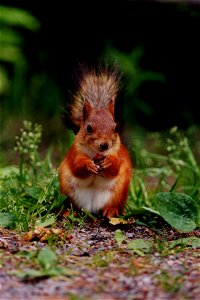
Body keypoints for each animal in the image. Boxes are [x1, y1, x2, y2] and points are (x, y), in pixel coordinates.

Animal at [58, 63, 132, 218]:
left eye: (115, 128)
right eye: (89, 128)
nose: (104, 145)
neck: (96, 154)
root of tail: (91, 208)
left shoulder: (117, 153)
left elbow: (115, 167)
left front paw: (109, 162)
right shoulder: (75, 153)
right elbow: (77, 167)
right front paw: (88, 165)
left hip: (120, 191)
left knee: (115, 204)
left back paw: (111, 210)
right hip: (67, 188)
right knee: (71, 204)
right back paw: (68, 211)